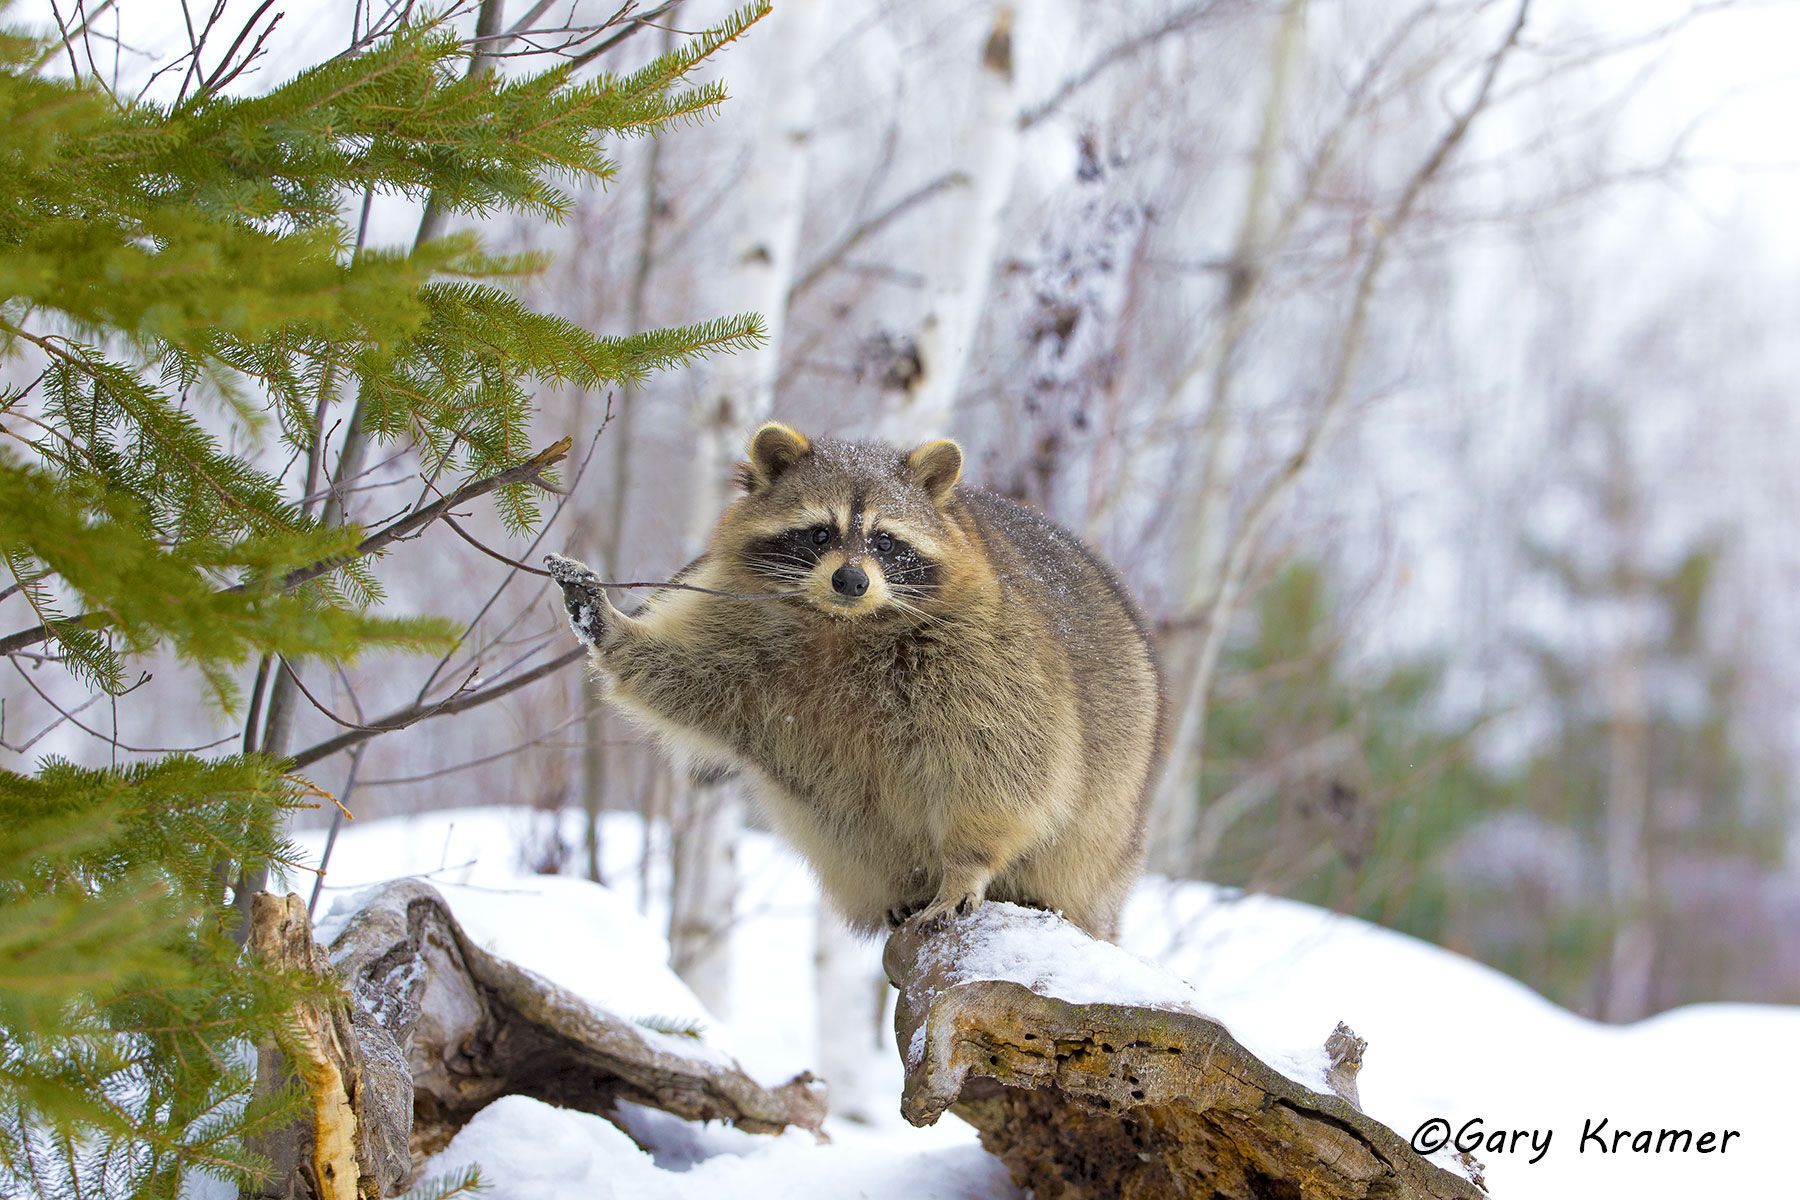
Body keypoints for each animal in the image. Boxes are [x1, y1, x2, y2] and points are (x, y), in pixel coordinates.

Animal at [547, 423, 1164, 938]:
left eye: (886, 541)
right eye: (820, 534)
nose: (850, 579)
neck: (844, 625)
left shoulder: (991, 653)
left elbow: (1006, 766)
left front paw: (966, 865)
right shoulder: (738, 618)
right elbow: (687, 677)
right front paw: (609, 626)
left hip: (1106, 827)